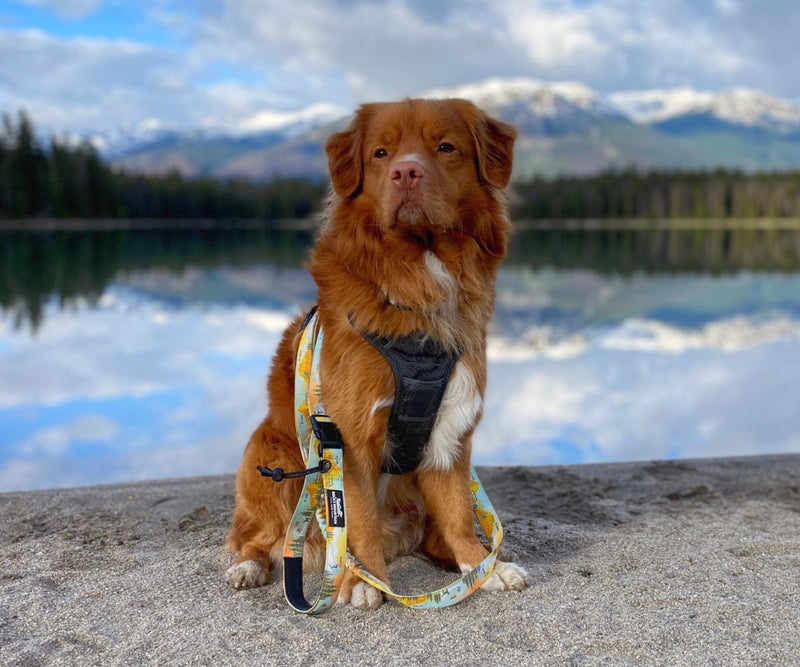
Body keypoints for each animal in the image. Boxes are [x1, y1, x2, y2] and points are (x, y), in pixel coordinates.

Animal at [223, 99, 532, 612]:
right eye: (381, 153)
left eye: (445, 147)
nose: (406, 172)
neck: (417, 281)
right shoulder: (348, 440)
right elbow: (359, 522)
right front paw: (364, 581)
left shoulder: (451, 431)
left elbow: (457, 513)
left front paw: (480, 569)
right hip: (268, 457)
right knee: (263, 538)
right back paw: (250, 566)